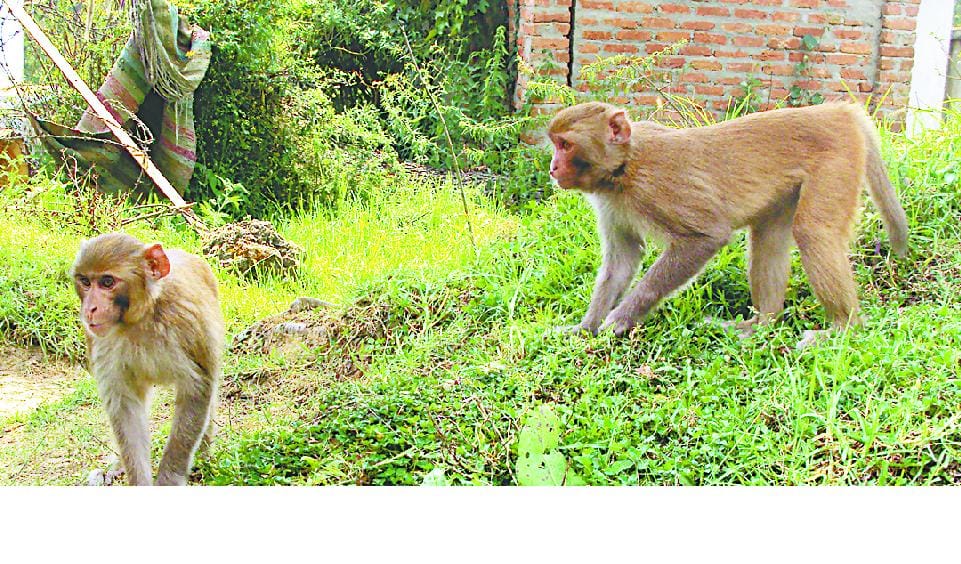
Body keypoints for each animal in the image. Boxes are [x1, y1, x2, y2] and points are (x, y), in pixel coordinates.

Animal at [72, 232, 224, 485]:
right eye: (85, 281)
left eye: (107, 282)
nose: (90, 308)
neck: (140, 318)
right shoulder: (100, 342)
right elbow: (124, 407)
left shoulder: (187, 324)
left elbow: (196, 390)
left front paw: (169, 479)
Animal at [547, 101, 908, 347]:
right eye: (555, 144)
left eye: (565, 145)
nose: (552, 167)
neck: (624, 168)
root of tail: (839, 110)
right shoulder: (611, 203)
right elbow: (624, 259)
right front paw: (586, 328)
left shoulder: (658, 187)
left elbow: (706, 236)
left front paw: (622, 319)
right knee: (768, 238)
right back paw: (761, 324)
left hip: (838, 159)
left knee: (813, 231)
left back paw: (844, 328)